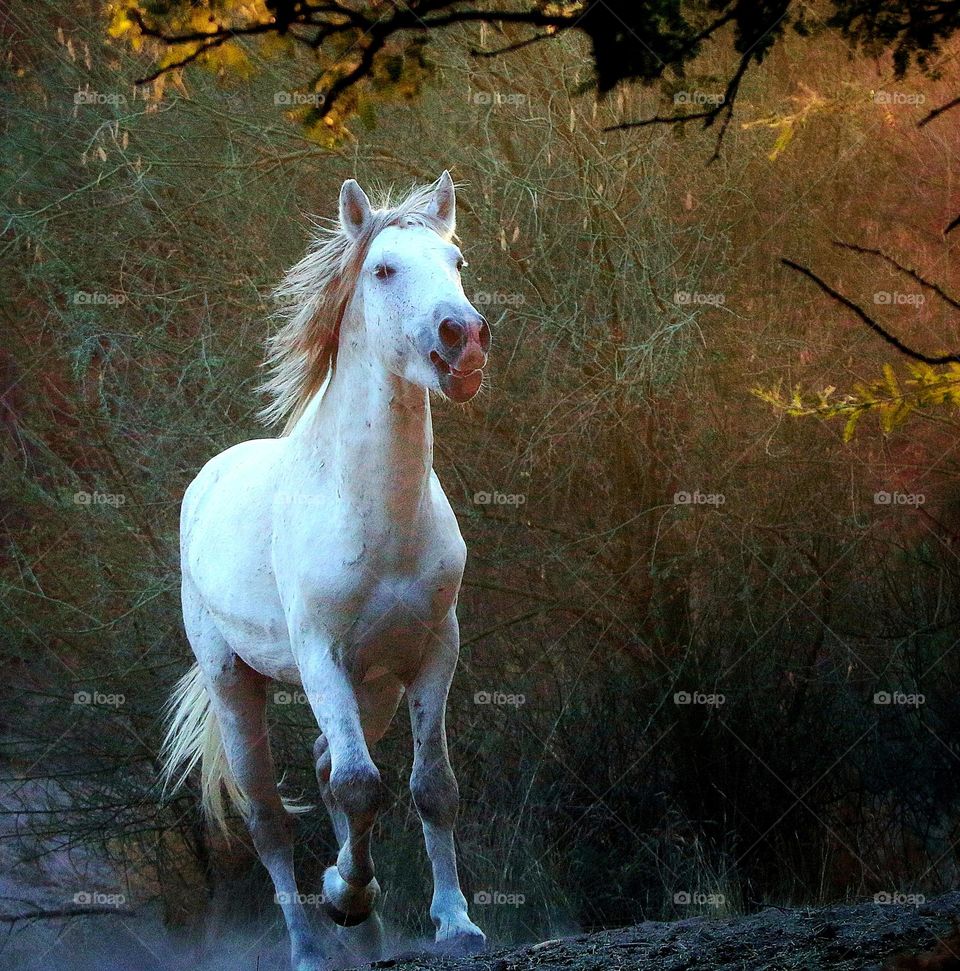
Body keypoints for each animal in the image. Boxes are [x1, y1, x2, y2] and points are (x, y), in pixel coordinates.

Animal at [160, 172, 491, 970]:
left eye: (457, 261)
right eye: (384, 270)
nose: (463, 337)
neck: (375, 514)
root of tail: (208, 479)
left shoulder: (433, 652)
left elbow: (431, 787)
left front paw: (456, 923)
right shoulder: (320, 658)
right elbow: (361, 786)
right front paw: (344, 895)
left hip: (373, 687)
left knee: (323, 766)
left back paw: (364, 927)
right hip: (236, 682)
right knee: (269, 817)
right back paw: (315, 940)